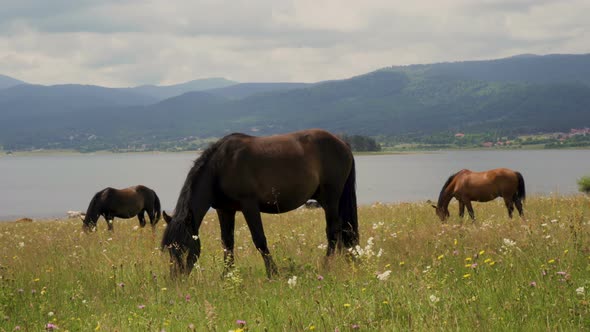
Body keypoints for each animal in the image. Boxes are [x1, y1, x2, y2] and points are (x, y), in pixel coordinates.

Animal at [160, 128, 358, 278]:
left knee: (333, 231)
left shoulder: (249, 206)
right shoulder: (225, 210)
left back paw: (327, 265)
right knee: (343, 229)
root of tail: (343, 144)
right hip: (327, 201)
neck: (220, 167)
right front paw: (227, 275)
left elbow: (259, 240)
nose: (176, 279)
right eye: (169, 249)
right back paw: (347, 260)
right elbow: (227, 243)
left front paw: (273, 273)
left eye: (183, 247)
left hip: (331, 199)